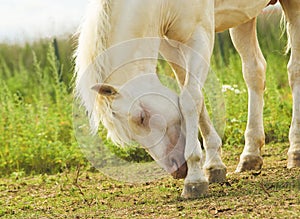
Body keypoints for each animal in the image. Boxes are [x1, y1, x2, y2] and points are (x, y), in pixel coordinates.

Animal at [73, 0, 300, 198]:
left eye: (141, 118)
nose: (177, 170)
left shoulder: (199, 34)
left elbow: (190, 99)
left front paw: (195, 179)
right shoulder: (169, 43)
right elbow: (193, 96)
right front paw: (214, 165)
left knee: (293, 70)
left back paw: (295, 150)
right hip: (244, 17)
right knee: (254, 71)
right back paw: (250, 155)